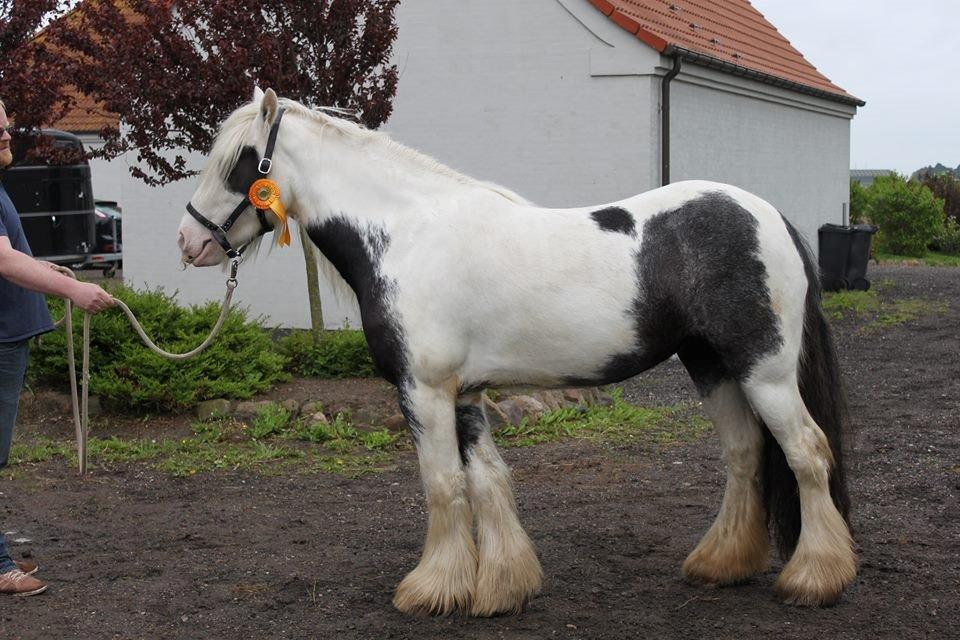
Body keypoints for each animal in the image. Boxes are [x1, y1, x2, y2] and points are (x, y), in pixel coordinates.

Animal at [176, 87, 860, 616]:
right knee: (745, 454)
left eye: (240, 163)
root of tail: (769, 216)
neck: (408, 235)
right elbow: (487, 482)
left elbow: (443, 483)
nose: (188, 242)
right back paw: (721, 564)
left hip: (764, 372)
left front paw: (432, 589)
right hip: (713, 367)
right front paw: (502, 587)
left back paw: (814, 578)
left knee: (807, 453)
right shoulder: (465, 393)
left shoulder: (423, 390)